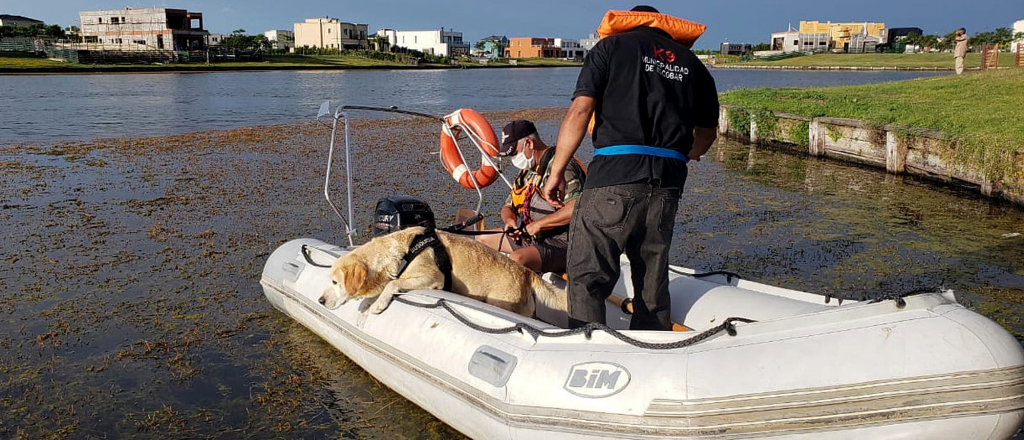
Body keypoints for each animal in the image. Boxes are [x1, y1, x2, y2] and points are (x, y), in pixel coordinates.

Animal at [317, 228, 569, 325]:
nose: (320, 300)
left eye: (335, 282)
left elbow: (393, 284)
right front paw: (368, 304)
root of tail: (526, 273)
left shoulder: (432, 278)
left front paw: (378, 304)